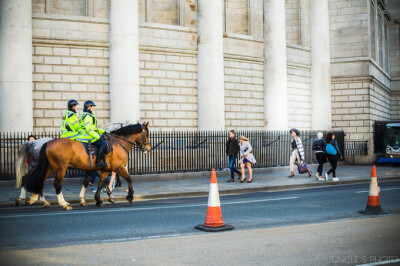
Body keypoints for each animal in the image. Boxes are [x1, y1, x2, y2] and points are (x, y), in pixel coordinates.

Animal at [22, 122, 150, 210]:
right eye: (147, 134)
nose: (148, 148)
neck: (118, 143)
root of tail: (47, 143)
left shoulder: (103, 170)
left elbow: (99, 183)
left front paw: (98, 200)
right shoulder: (119, 168)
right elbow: (129, 179)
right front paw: (130, 196)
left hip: (50, 167)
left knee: (39, 180)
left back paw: (40, 201)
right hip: (60, 168)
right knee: (56, 184)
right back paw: (64, 204)